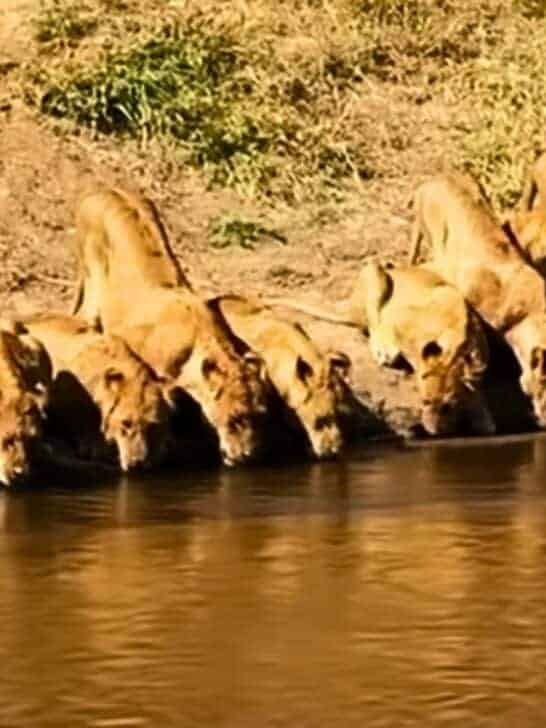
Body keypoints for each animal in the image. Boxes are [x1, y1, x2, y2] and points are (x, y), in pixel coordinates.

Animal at [265, 262, 493, 436]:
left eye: (448, 406)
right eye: (424, 400)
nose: (433, 432)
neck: (456, 337)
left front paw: (482, 415)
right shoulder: (401, 321)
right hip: (374, 269)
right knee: (373, 324)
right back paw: (383, 350)